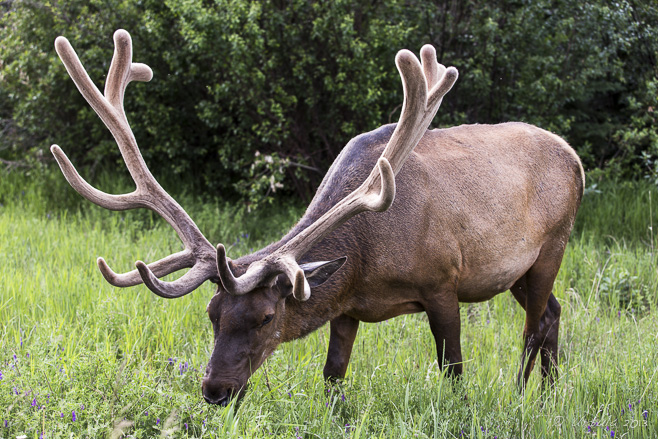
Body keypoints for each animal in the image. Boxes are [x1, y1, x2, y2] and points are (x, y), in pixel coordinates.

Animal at [53, 28, 580, 406]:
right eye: (211, 314)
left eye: (266, 317)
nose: (215, 391)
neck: (369, 259)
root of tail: (573, 156)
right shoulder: (347, 308)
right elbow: (332, 377)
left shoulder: (443, 282)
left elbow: (453, 372)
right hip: (515, 272)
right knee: (553, 313)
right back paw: (551, 396)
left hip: (551, 247)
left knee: (534, 326)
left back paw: (522, 396)